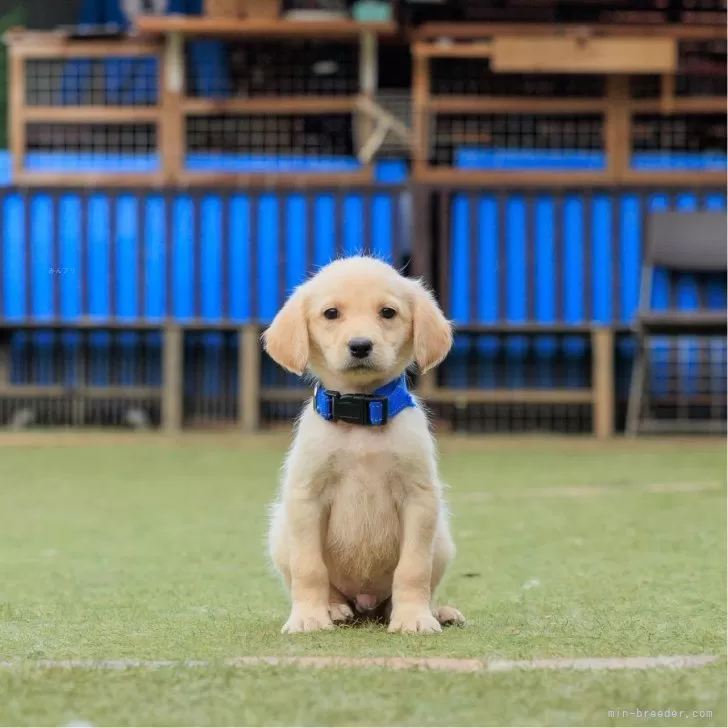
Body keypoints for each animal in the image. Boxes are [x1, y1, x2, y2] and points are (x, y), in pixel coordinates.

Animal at [264, 258, 464, 636]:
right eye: (331, 313)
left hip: (442, 540)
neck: (361, 416)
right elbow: (309, 569)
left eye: (388, 312)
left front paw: (413, 617)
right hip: (281, 532)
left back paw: (435, 611)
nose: (360, 345)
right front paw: (309, 617)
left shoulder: (419, 499)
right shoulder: (306, 497)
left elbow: (413, 569)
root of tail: (365, 605)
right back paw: (334, 608)